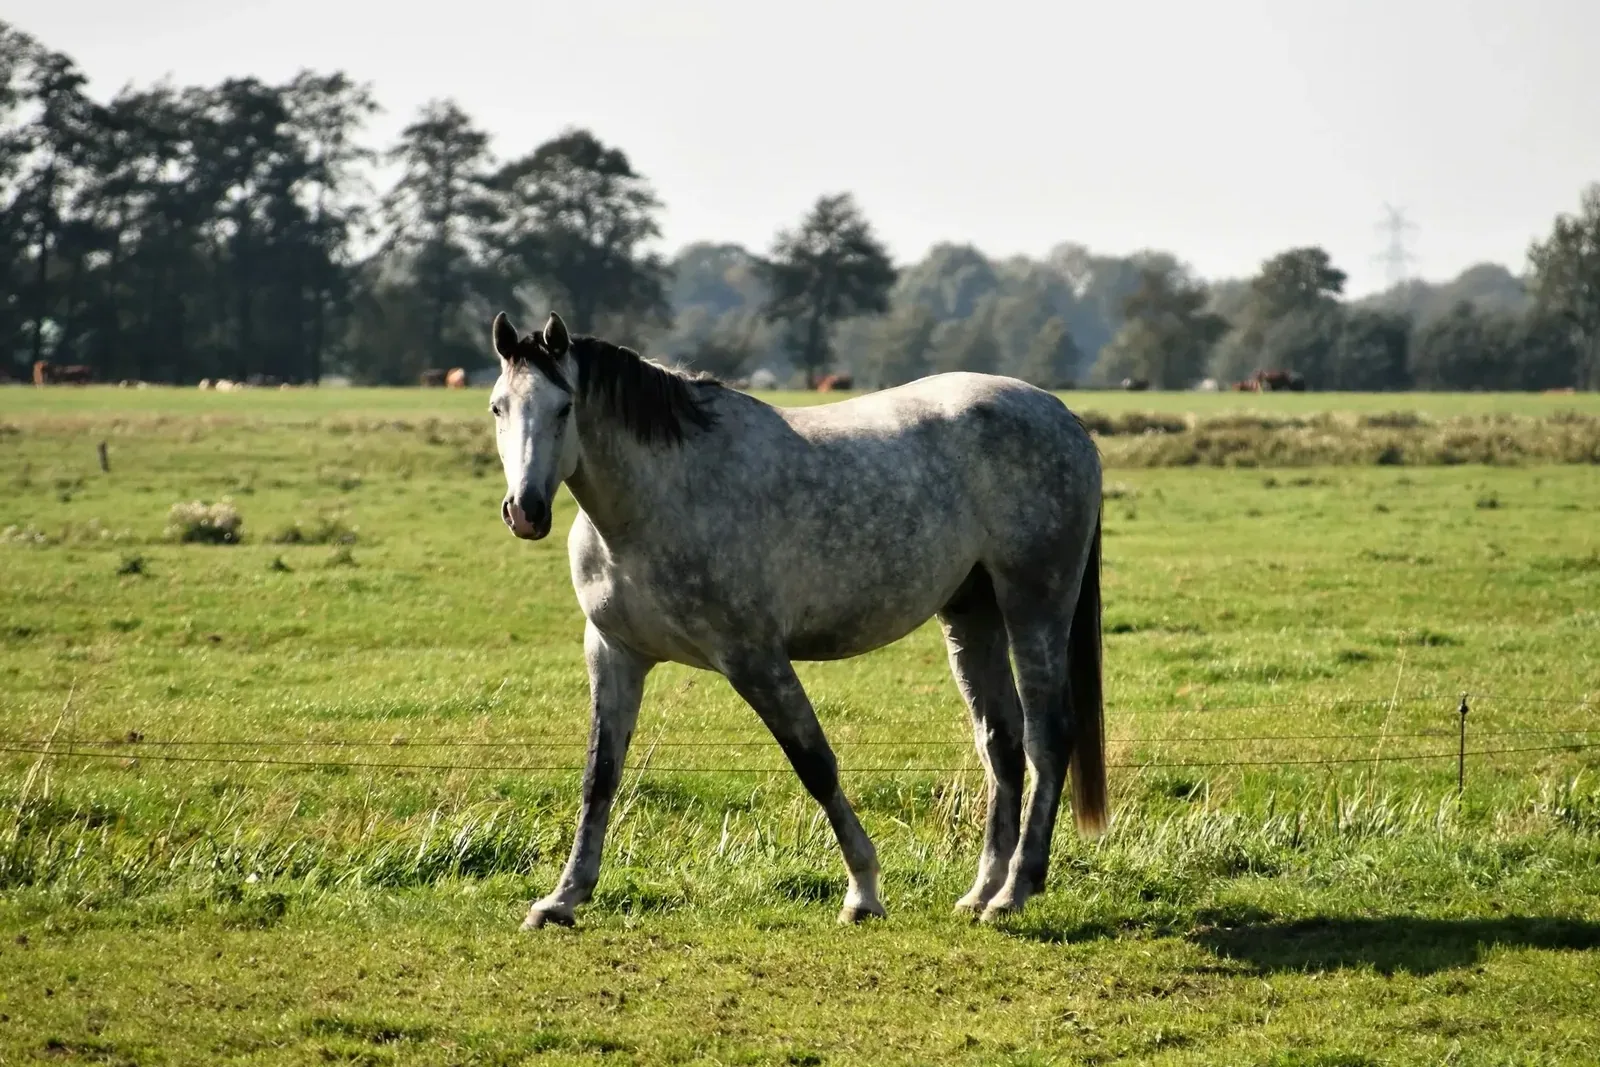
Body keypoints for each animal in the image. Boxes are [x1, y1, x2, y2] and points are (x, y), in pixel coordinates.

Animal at [488, 310, 1108, 929]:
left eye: (563, 408)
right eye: (499, 407)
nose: (525, 511)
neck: (657, 501)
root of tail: (1062, 417)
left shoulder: (754, 658)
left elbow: (815, 765)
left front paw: (863, 892)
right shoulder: (614, 653)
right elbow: (600, 775)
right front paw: (562, 898)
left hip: (1035, 604)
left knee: (1047, 737)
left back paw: (1015, 890)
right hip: (971, 614)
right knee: (1000, 742)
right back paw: (982, 890)